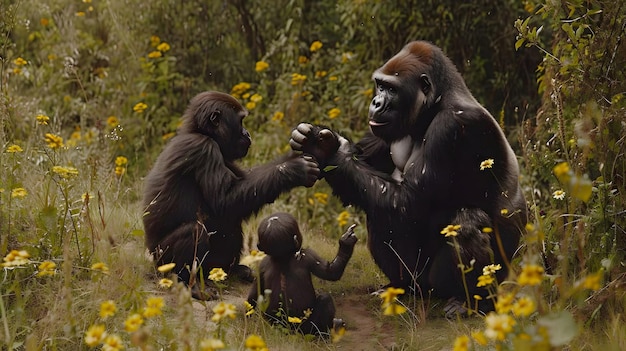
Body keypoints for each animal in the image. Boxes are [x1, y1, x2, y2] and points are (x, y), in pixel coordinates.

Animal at [290, 40, 524, 314]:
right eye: (380, 85)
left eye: (391, 89)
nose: (376, 102)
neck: (434, 105)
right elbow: (369, 172)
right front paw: (321, 144)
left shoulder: (454, 125)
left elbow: (406, 202)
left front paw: (329, 151)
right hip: (420, 280)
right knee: (378, 210)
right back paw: (402, 286)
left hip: (487, 278)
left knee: (466, 222)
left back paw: (469, 301)